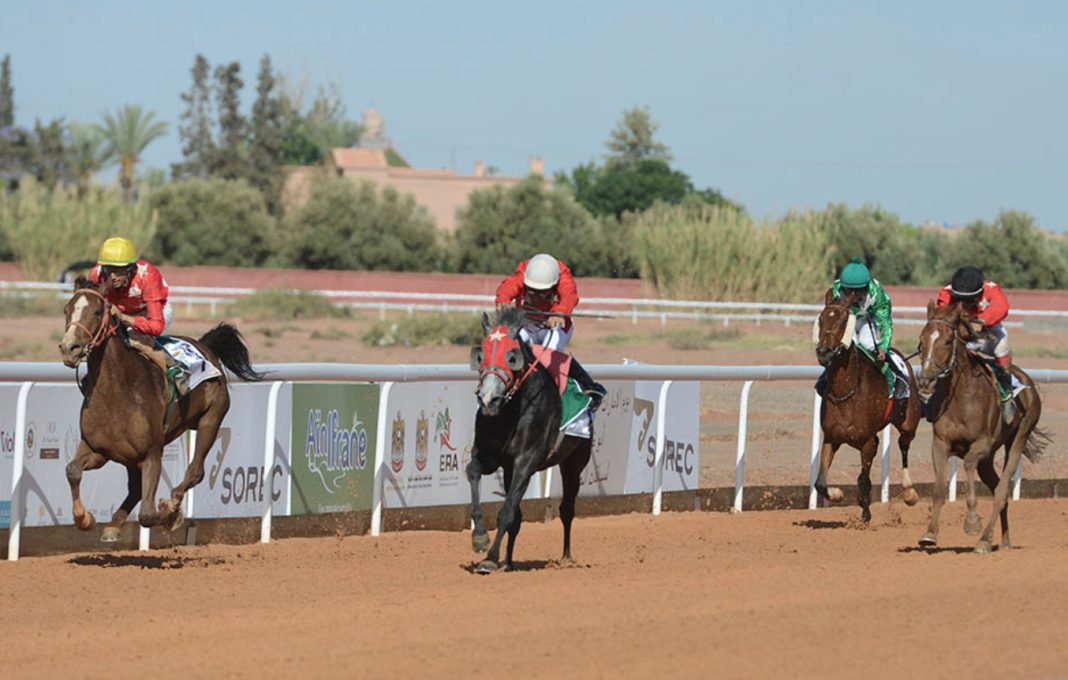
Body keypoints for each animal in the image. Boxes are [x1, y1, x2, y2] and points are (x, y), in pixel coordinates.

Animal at [56, 279, 262, 535]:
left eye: (96, 311)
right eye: (66, 309)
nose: (69, 348)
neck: (116, 393)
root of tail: (205, 346)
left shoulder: (152, 454)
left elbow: (147, 514)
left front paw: (169, 513)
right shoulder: (98, 449)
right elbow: (72, 470)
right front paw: (84, 518)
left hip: (211, 419)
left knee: (196, 471)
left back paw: (171, 505)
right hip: (130, 457)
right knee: (135, 488)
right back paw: (114, 525)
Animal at [467, 307, 593, 572]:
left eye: (512, 357)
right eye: (481, 355)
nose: (488, 399)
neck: (510, 411)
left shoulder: (526, 462)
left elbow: (506, 513)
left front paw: (490, 559)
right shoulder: (491, 457)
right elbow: (472, 472)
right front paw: (480, 538)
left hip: (574, 463)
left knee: (567, 509)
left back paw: (566, 557)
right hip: (510, 470)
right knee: (518, 515)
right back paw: (509, 561)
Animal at [811, 290, 922, 518]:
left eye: (844, 320)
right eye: (821, 319)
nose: (824, 353)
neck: (846, 392)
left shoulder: (869, 442)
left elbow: (863, 479)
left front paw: (865, 512)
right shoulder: (831, 437)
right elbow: (820, 482)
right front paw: (837, 494)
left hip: (909, 422)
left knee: (904, 445)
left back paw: (909, 492)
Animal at [914, 301, 1046, 550]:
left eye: (948, 340)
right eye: (922, 339)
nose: (926, 380)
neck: (961, 399)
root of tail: (1028, 383)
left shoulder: (982, 443)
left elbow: (967, 464)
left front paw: (972, 521)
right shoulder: (940, 443)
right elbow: (939, 489)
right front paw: (929, 534)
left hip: (1018, 438)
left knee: (1002, 490)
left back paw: (984, 539)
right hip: (987, 461)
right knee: (996, 489)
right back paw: (1004, 541)